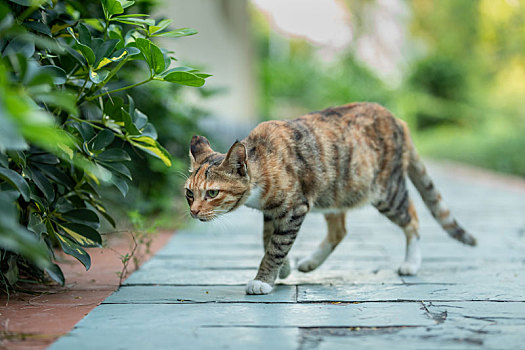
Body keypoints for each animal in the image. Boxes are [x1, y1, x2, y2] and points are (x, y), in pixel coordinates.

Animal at [184, 102, 474, 294]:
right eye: (189, 193)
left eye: (212, 193)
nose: (194, 212)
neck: (262, 161)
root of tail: (397, 120)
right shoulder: (272, 211)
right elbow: (269, 240)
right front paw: (284, 269)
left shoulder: (294, 208)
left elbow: (277, 245)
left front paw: (264, 279)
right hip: (336, 192)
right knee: (340, 231)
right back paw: (310, 263)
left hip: (385, 192)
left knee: (412, 218)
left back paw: (411, 263)